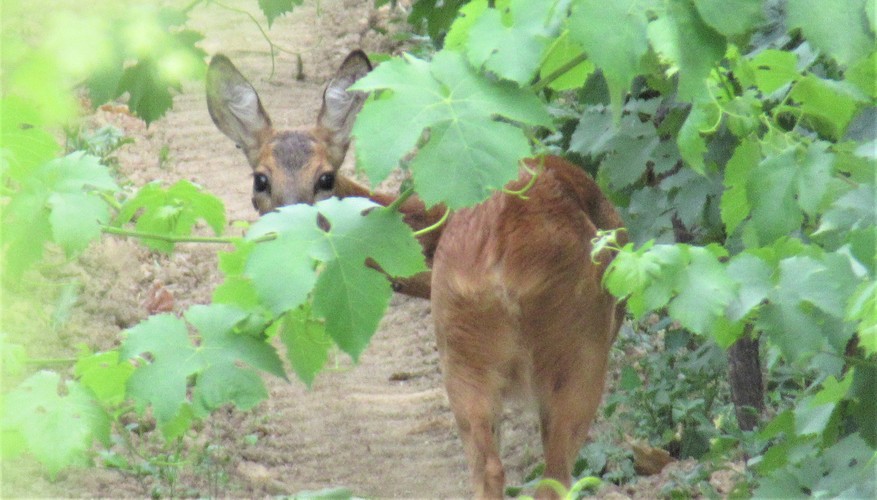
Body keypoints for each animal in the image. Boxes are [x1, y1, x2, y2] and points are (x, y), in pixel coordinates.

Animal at [207, 50, 624, 500]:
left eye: (325, 177)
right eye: (260, 179)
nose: (289, 232)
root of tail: (506, 256)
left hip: (496, 346)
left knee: (515, 471)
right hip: (553, 348)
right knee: (537, 473)